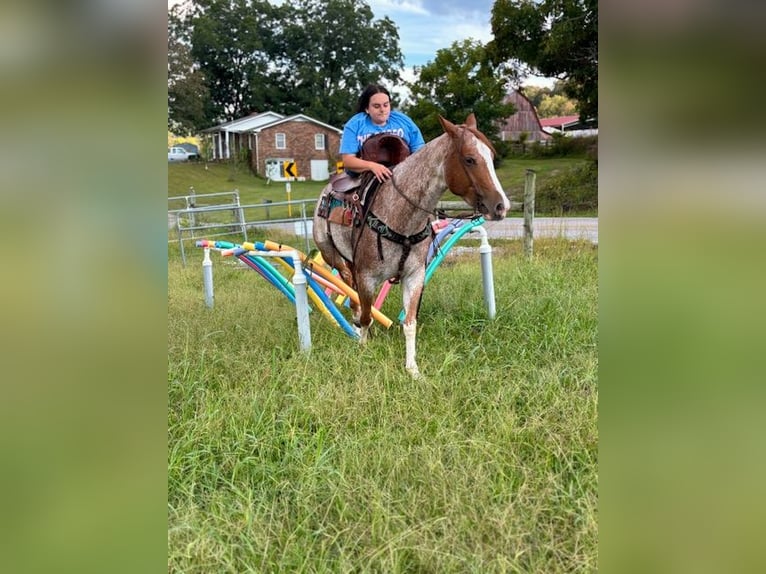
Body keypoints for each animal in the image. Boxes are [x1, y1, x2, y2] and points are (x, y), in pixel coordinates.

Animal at [313, 113, 510, 378]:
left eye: (491, 155)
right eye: (469, 159)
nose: (501, 206)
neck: (402, 215)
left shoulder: (414, 276)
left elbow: (410, 323)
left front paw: (412, 369)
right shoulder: (367, 277)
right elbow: (366, 316)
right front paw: (363, 348)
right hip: (330, 254)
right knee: (346, 280)